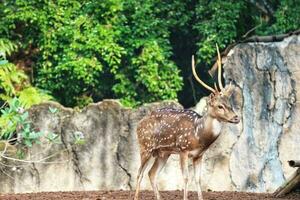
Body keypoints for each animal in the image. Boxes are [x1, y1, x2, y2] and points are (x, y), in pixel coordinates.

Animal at [135, 45, 240, 200]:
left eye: (230, 104)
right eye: (220, 106)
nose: (236, 117)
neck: (198, 135)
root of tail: (138, 125)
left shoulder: (199, 155)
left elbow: (198, 179)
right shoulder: (183, 150)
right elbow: (185, 178)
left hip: (162, 153)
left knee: (151, 173)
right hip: (145, 147)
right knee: (139, 173)